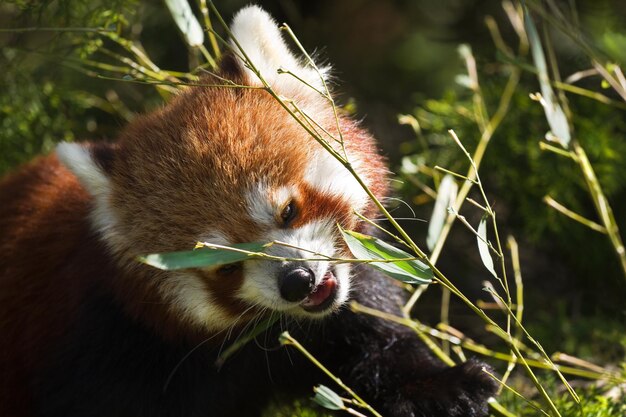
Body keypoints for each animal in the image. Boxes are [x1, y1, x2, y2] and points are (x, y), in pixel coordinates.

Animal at [1, 6, 498, 416]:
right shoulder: (104, 344)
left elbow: (378, 353)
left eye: (288, 211)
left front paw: (443, 389)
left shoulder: (346, 311)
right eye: (224, 266)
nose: (297, 281)